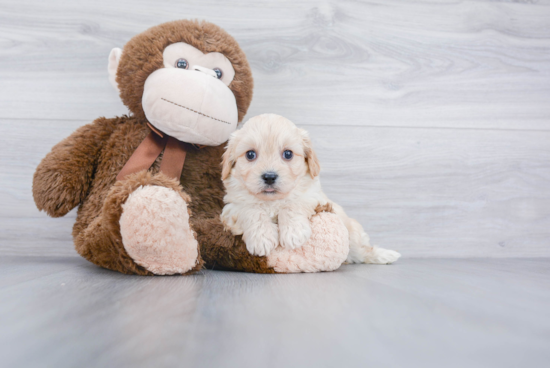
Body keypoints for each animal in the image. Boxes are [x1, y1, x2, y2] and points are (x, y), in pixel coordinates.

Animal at [220, 113, 402, 264]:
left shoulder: (313, 197)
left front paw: (293, 233)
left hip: (353, 232)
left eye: (288, 154)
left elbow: (292, 204)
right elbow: (251, 210)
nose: (269, 177)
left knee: (363, 251)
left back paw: (385, 255)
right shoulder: (231, 209)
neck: (272, 201)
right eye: (250, 154)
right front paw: (261, 238)